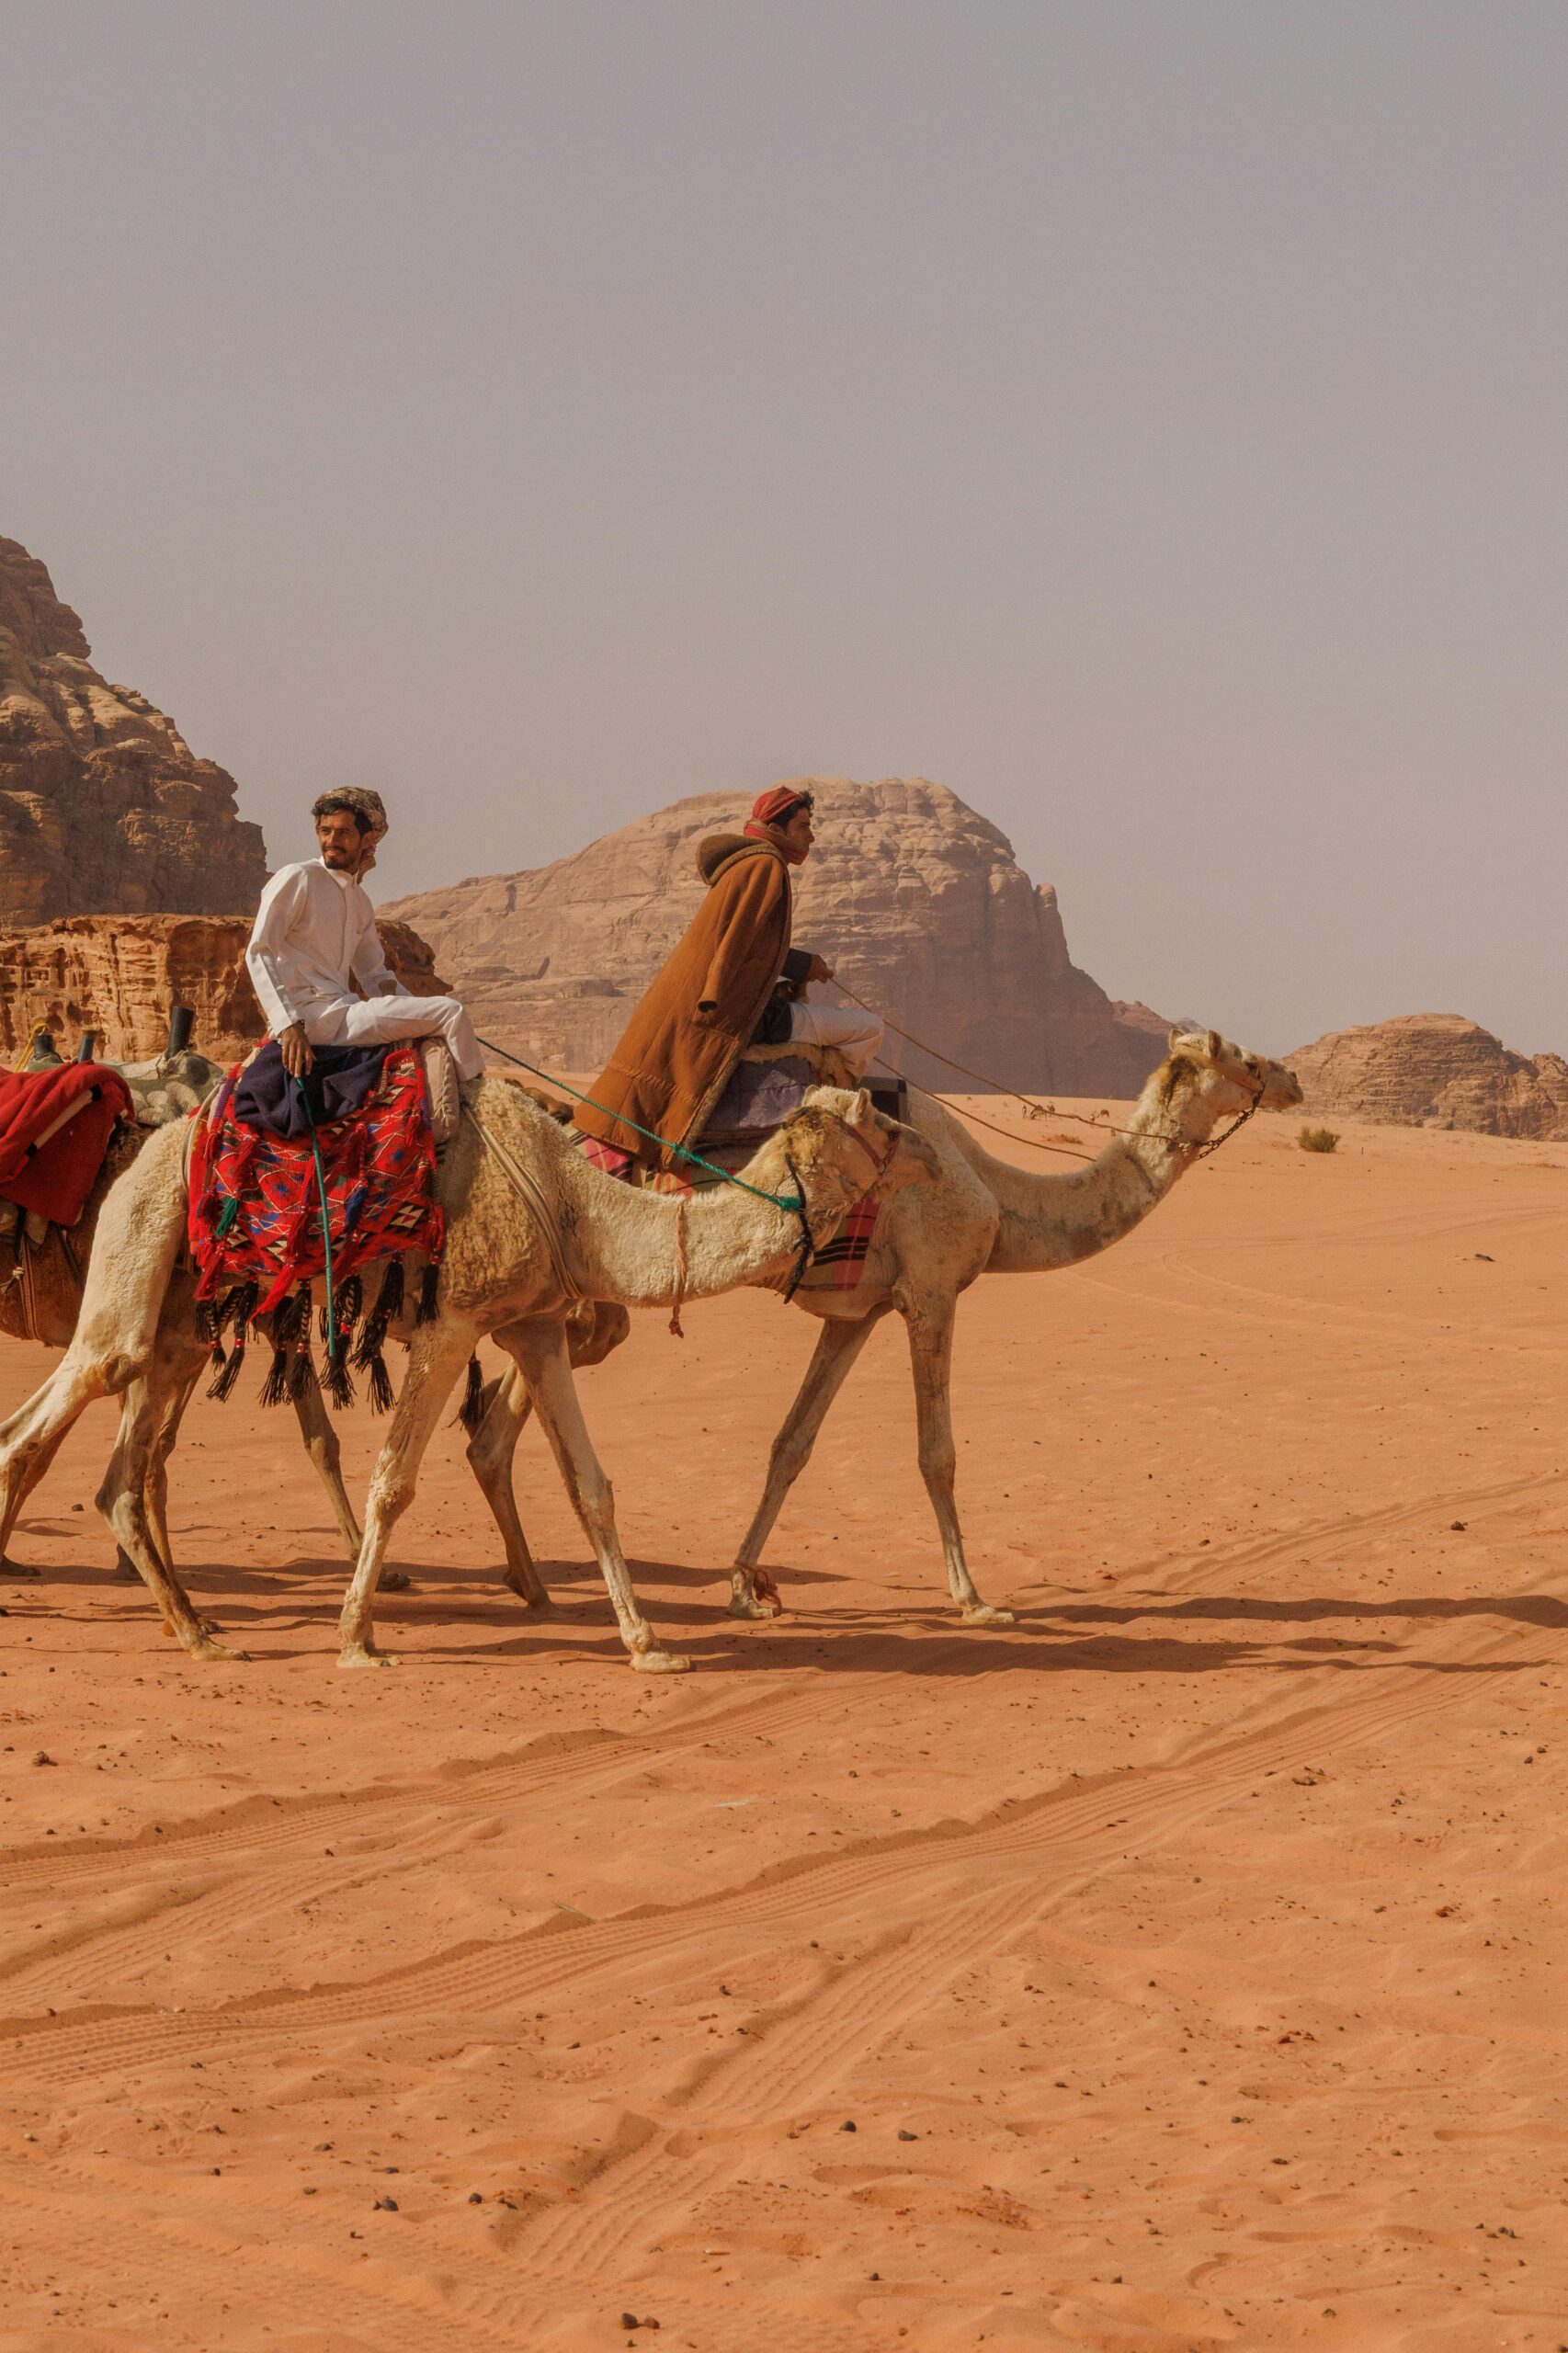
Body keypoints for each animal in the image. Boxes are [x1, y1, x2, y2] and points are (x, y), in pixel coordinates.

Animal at [0, 1079, 934, 1665]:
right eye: (876, 1121)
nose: (926, 1141)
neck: (575, 1201)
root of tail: (154, 1142)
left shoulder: (534, 1325)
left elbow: (592, 1486)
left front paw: (649, 1646)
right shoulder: (453, 1322)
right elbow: (393, 1480)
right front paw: (357, 1640)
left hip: (182, 1319)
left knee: (110, 1466)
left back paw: (195, 1630)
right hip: (138, 1245)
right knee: (62, 1408)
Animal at [456, 1029, 1302, 1626]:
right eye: (1245, 1057)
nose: (1293, 1078)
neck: (999, 1201)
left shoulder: (857, 1314)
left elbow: (791, 1445)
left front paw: (744, 1588)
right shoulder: (932, 1290)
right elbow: (938, 1454)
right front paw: (974, 1597)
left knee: (495, 1423)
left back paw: (527, 1582)